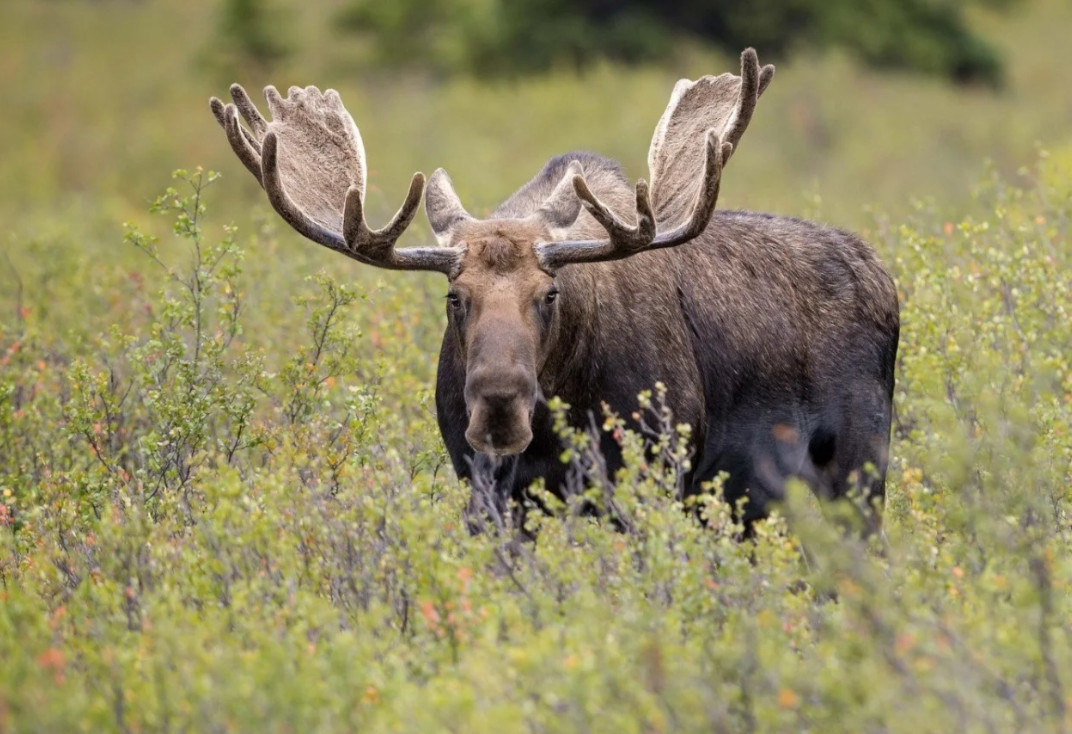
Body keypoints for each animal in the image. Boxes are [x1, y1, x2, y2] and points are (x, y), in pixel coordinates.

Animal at [206, 51, 896, 529]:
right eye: (454, 298)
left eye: (551, 294)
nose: (499, 404)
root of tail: (884, 277)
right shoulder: (489, 492)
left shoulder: (652, 475)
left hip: (859, 471)